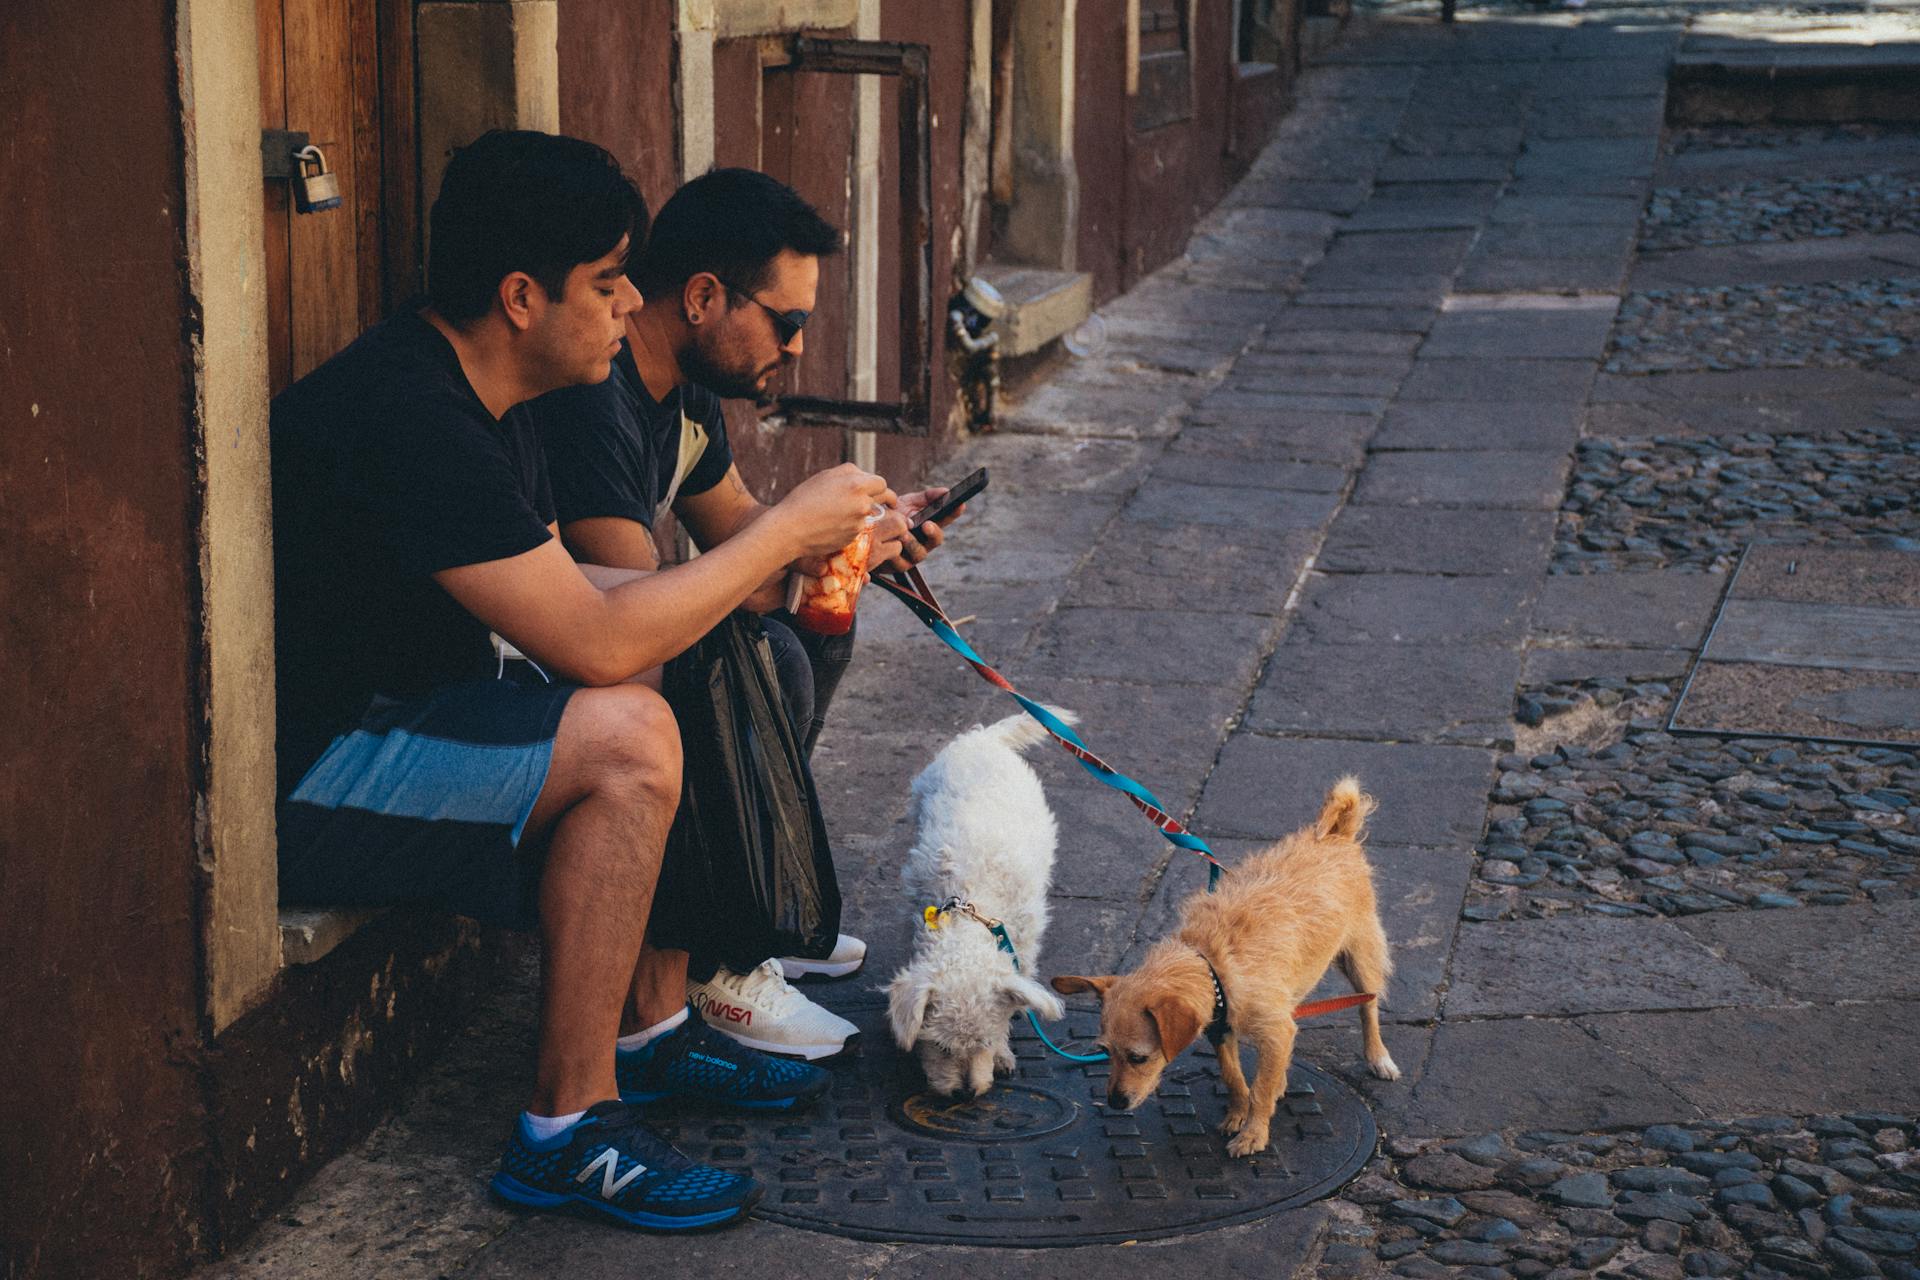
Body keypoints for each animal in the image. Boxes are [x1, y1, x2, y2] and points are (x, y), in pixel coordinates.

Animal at [887, 710, 1075, 1105]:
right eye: (940, 1047)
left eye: (985, 1042)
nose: (964, 1093)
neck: (970, 911)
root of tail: (982, 738)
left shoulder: (1023, 945)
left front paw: (1003, 1053)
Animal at [1052, 782, 1397, 1159]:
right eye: (1106, 1052)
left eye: (1138, 1058)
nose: (1114, 1102)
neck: (1212, 965)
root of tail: (1336, 835)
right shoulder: (1221, 1031)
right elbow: (1233, 1077)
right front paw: (1237, 1113)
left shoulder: (1272, 1029)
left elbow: (1260, 1087)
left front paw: (1253, 1133)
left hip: (1361, 958)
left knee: (1368, 1007)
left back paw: (1378, 1057)